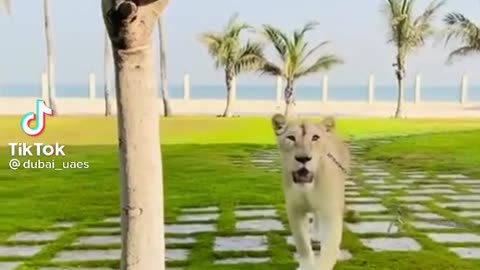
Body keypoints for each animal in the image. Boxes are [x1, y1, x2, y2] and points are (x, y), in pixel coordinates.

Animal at [272, 114, 350, 270]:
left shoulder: (330, 211)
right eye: (291, 138)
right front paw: (306, 264)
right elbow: (302, 243)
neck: (307, 188)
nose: (303, 158)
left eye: (315, 138)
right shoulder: (295, 210)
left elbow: (330, 248)